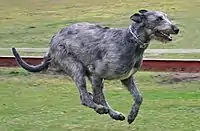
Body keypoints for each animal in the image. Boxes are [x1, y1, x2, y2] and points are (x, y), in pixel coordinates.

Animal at [11, 9, 179, 124]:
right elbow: (100, 98)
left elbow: (139, 97)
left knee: (89, 96)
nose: (176, 28)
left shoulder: (127, 78)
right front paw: (105, 109)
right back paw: (101, 109)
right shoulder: (97, 74)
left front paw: (132, 115)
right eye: (158, 19)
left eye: (166, 16)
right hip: (75, 67)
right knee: (85, 97)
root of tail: (52, 42)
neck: (132, 41)